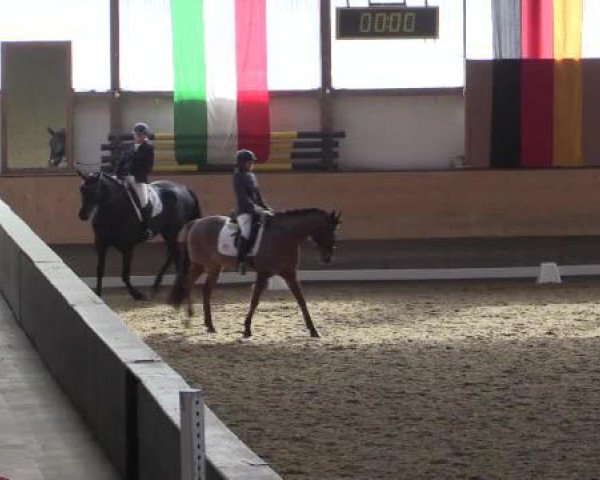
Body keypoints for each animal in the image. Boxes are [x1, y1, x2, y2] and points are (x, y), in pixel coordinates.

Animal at [78, 172, 200, 300]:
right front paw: (97, 294)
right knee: (172, 254)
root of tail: (185, 188)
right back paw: (157, 287)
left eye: (95, 190)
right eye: (81, 190)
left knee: (176, 254)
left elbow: (125, 274)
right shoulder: (101, 244)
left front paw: (137, 294)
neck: (113, 210)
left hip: (171, 232)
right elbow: (100, 271)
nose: (82, 215)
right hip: (168, 233)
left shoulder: (128, 247)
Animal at [171, 209, 340, 338]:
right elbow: (254, 300)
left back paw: (209, 325)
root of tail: (196, 222)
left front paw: (313, 330)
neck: (284, 235)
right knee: (189, 285)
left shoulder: (290, 273)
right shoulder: (263, 273)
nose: (327, 257)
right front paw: (247, 329)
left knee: (205, 290)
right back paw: (189, 318)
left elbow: (301, 300)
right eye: (329, 230)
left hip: (214, 267)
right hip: (200, 265)